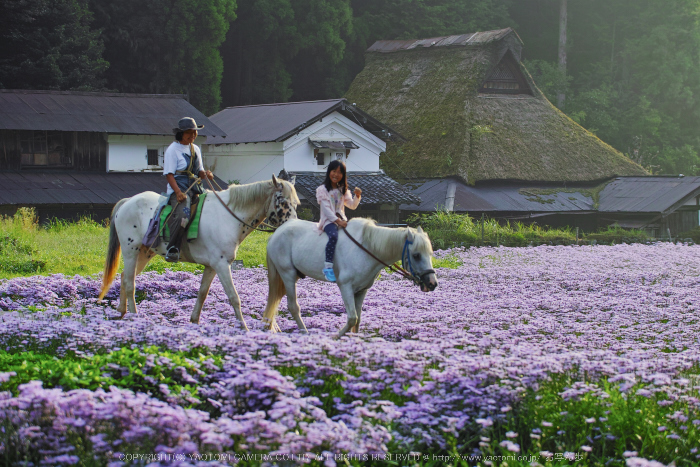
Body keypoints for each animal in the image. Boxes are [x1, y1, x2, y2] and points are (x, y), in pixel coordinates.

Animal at [97, 176, 300, 330]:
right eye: (282, 201)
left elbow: (202, 294)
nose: (293, 226)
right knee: (130, 283)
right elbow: (234, 297)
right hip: (131, 251)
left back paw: (121, 312)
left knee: (124, 277)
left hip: (144, 253)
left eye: (296, 203)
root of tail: (127, 202)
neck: (229, 216)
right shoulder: (222, 265)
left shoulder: (212, 266)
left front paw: (194, 321)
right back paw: (134, 316)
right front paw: (244, 328)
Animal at [262, 219, 438, 336]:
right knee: (293, 306)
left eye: (430, 253)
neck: (367, 249)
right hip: (287, 274)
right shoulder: (345, 286)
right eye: (416, 255)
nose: (432, 283)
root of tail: (277, 232)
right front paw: (336, 337)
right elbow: (352, 318)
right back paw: (304, 332)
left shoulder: (361, 290)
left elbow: (358, 319)